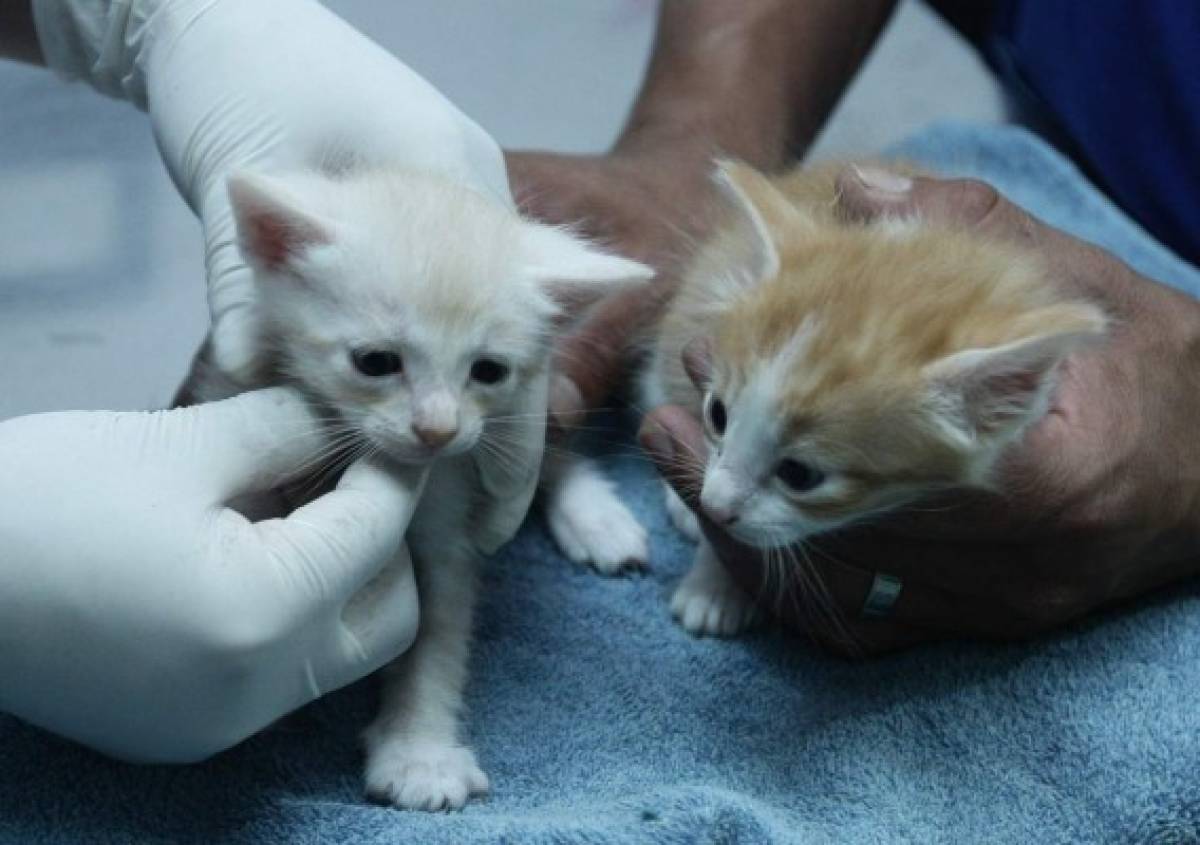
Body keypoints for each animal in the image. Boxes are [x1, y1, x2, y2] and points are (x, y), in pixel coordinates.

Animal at [208, 168, 657, 806]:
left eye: (488, 370)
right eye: (376, 362)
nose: (438, 430)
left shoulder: (449, 511)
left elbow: (437, 637)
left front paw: (418, 751)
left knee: (543, 449)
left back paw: (596, 517)